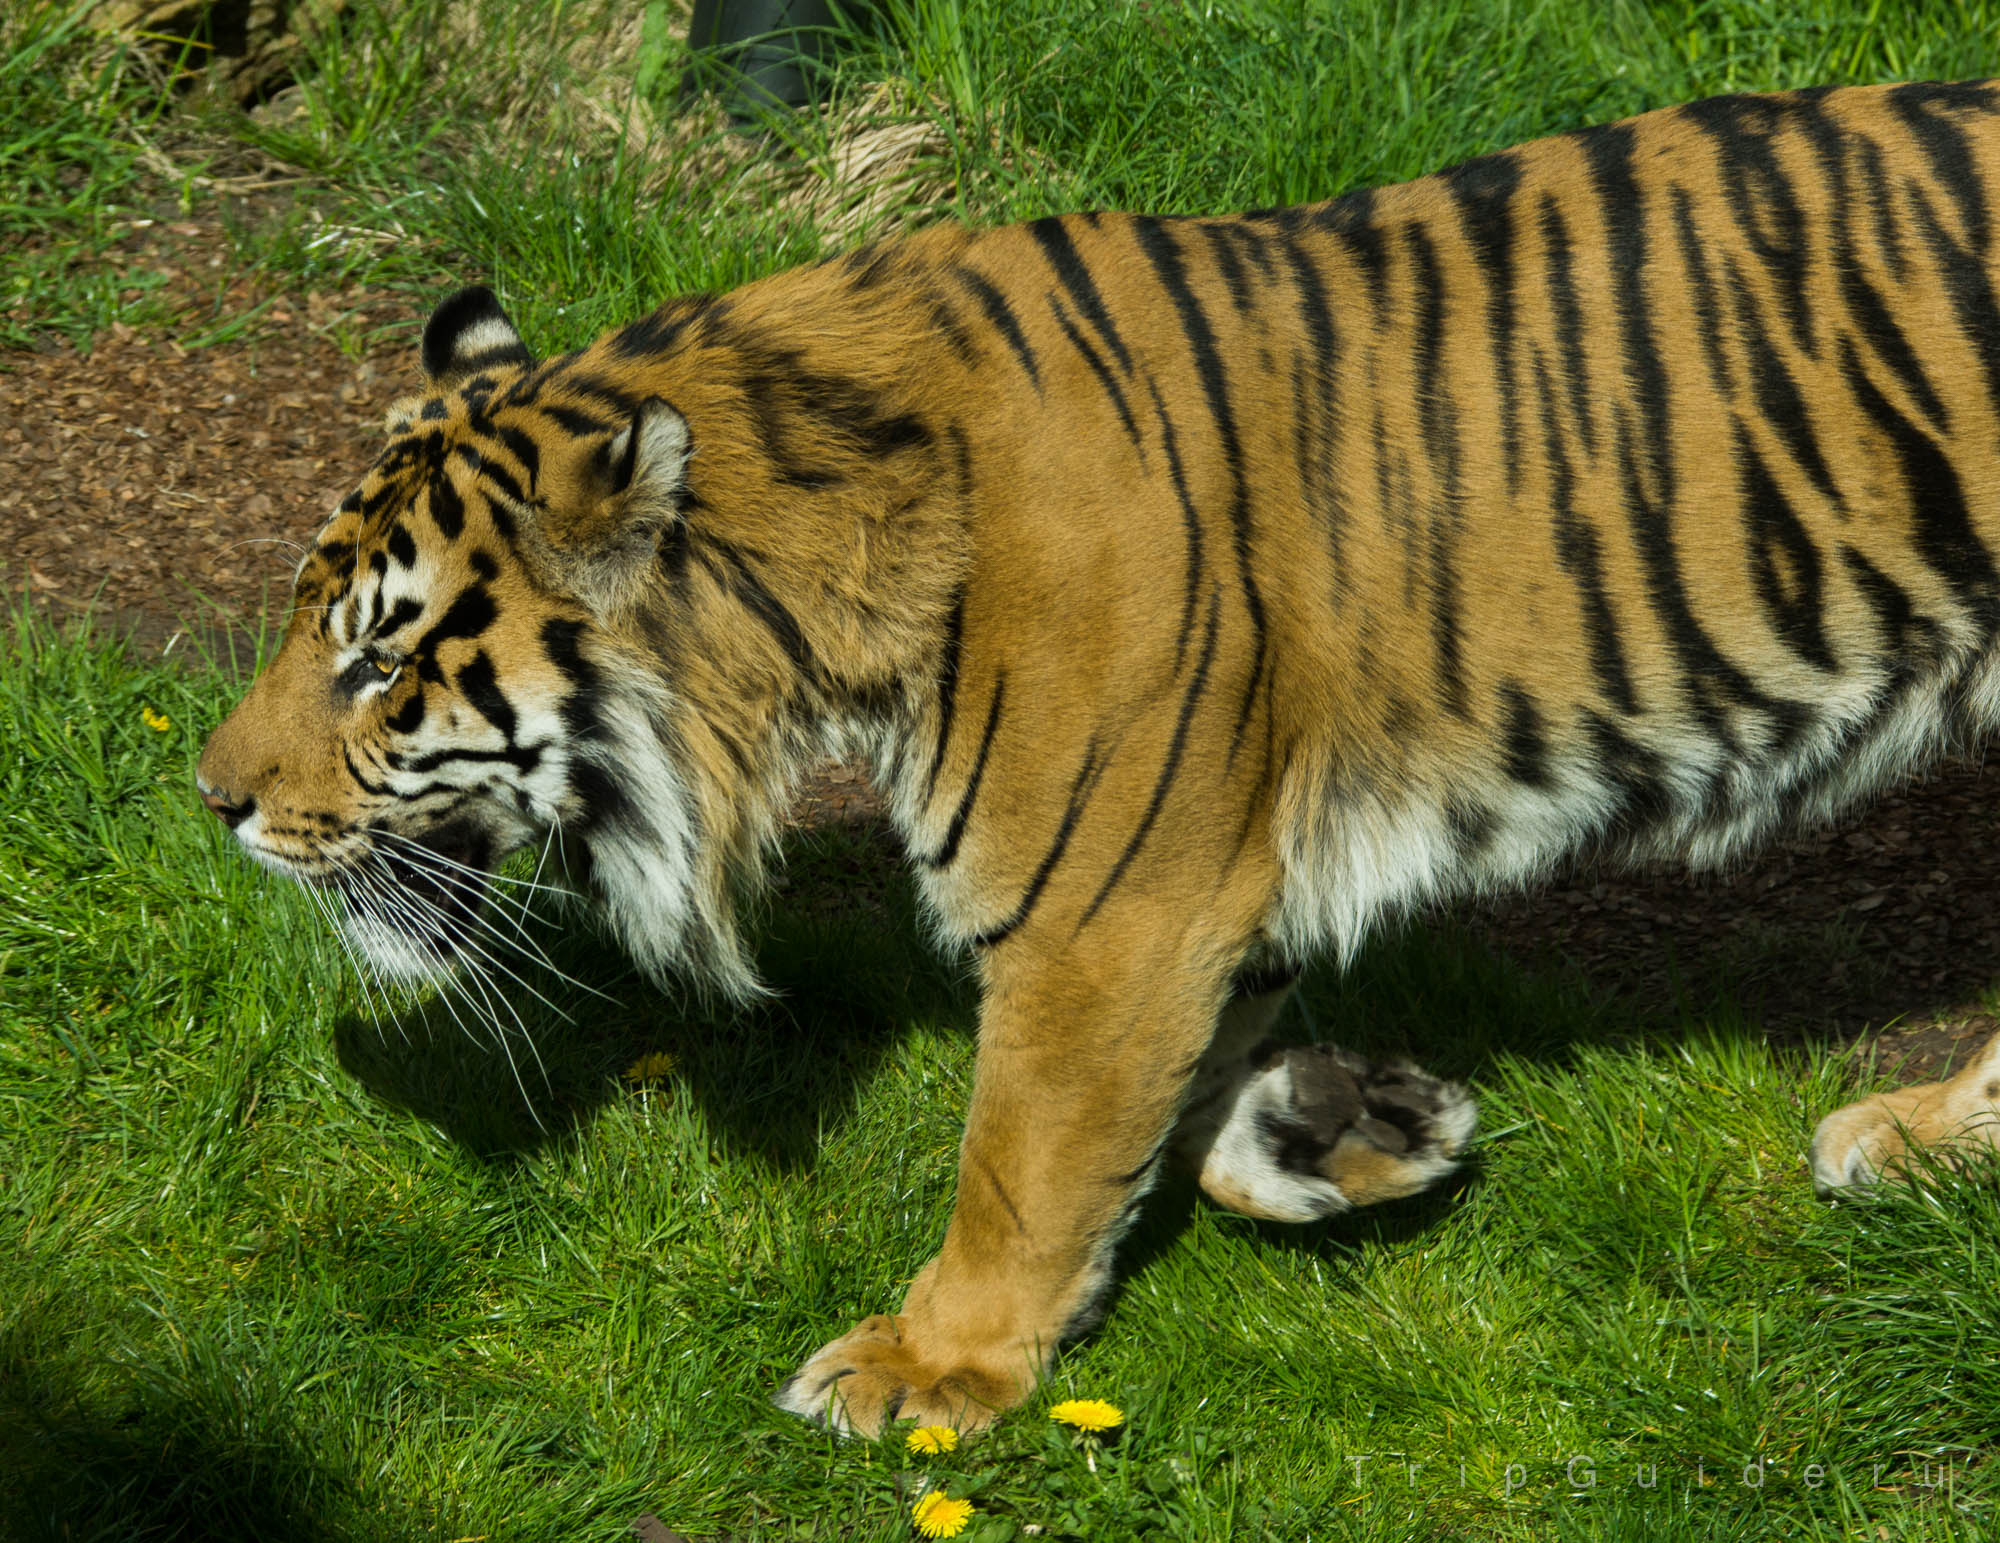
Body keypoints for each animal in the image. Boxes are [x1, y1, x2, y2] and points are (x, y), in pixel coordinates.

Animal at [197, 79, 2000, 1437]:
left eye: (376, 661)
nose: (214, 799)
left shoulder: (1104, 915)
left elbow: (1024, 1157)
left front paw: (932, 1364)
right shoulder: (1206, 888)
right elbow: (1196, 1097)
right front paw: (1347, 1122)